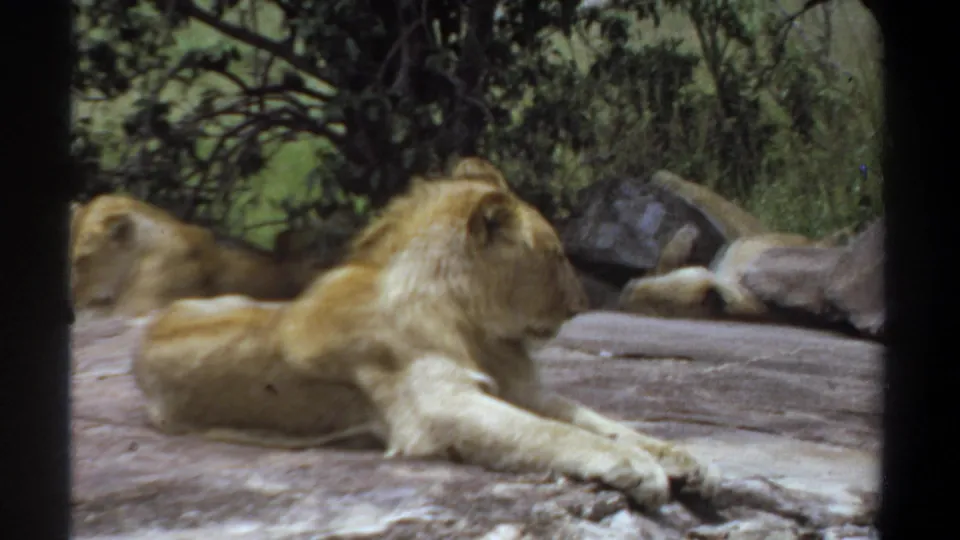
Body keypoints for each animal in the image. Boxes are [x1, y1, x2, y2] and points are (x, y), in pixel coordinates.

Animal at [132, 157, 720, 511]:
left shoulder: (523, 389)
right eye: (555, 254)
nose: (580, 306)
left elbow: (600, 422)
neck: (474, 324)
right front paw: (638, 469)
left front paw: (680, 457)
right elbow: (553, 434)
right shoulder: (439, 407)